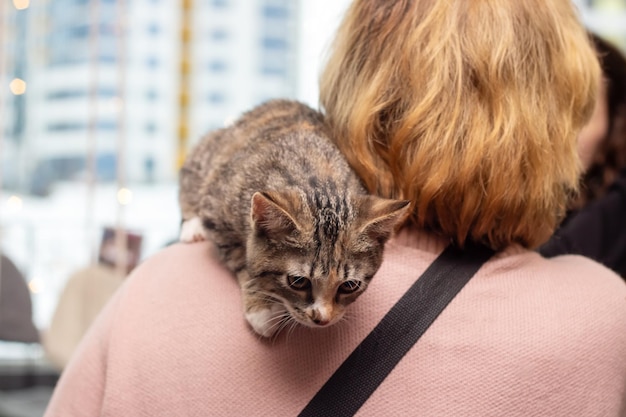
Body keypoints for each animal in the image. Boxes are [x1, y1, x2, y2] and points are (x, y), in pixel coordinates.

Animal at [178, 99, 408, 336]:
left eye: (349, 285)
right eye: (298, 281)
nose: (322, 319)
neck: (319, 184)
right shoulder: (216, 208)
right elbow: (239, 256)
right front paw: (262, 306)